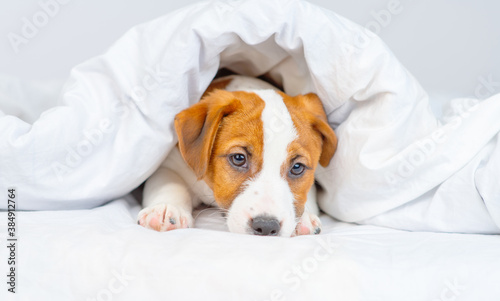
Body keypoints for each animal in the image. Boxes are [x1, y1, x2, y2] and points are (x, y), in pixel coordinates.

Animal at [139, 74, 338, 236]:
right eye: (238, 158)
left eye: (297, 167)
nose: (266, 226)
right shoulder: (170, 164)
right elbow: (171, 185)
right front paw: (167, 209)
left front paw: (303, 217)